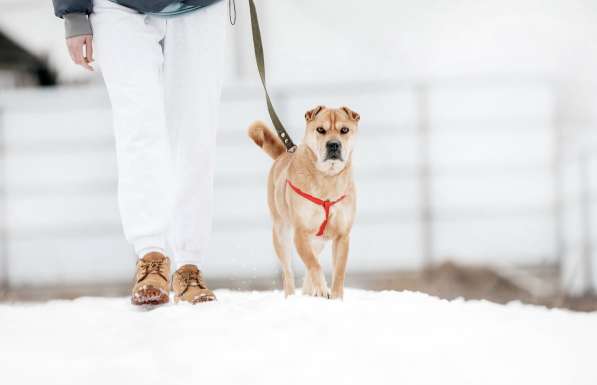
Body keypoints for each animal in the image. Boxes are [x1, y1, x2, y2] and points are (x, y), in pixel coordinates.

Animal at [247, 106, 358, 300]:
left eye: (344, 130)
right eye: (320, 129)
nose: (333, 144)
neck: (327, 178)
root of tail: (284, 154)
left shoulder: (342, 236)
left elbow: (339, 271)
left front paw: (336, 297)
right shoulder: (300, 233)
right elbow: (313, 264)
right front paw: (321, 288)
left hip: (318, 241)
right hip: (281, 234)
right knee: (288, 273)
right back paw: (293, 297)